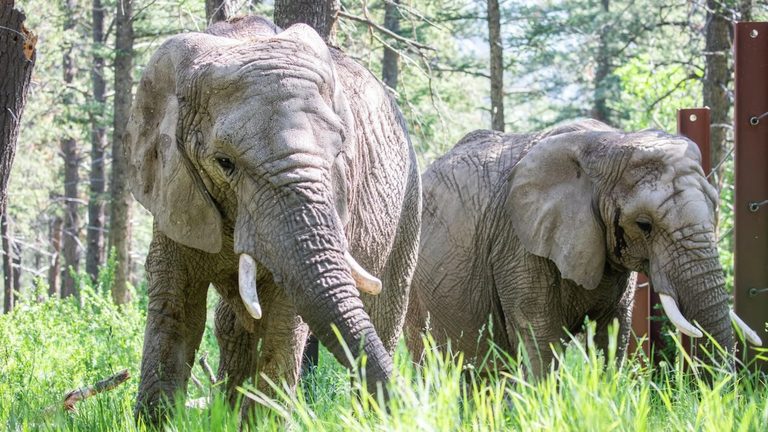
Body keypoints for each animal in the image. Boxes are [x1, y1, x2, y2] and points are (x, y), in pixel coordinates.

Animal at [125, 16, 421, 422]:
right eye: (224, 162)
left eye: (339, 153)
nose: (420, 408)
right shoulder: (174, 186)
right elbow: (177, 309)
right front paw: (157, 422)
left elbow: (285, 319)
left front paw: (265, 422)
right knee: (233, 323)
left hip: (409, 198)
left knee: (384, 313)